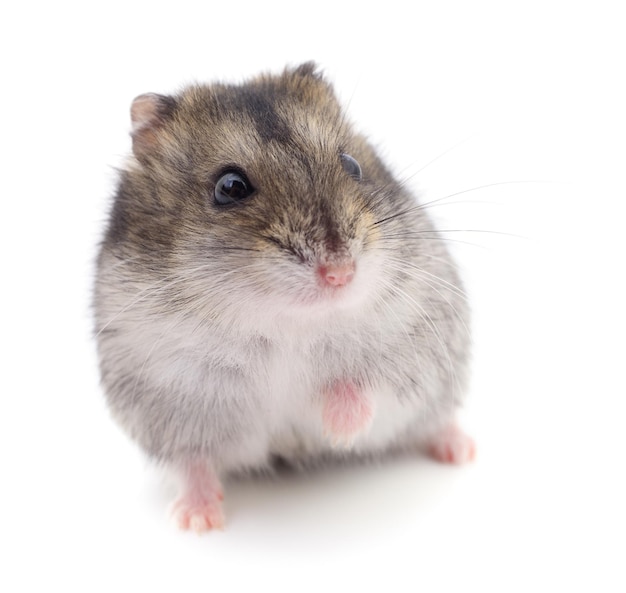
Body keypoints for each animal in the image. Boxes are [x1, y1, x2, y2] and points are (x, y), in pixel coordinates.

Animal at [92, 63, 472, 532]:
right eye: (229, 187)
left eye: (351, 165)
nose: (340, 273)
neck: (287, 322)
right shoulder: (171, 395)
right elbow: (192, 462)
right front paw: (198, 522)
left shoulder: (411, 338)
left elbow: (364, 383)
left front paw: (336, 432)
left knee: (434, 420)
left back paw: (462, 450)